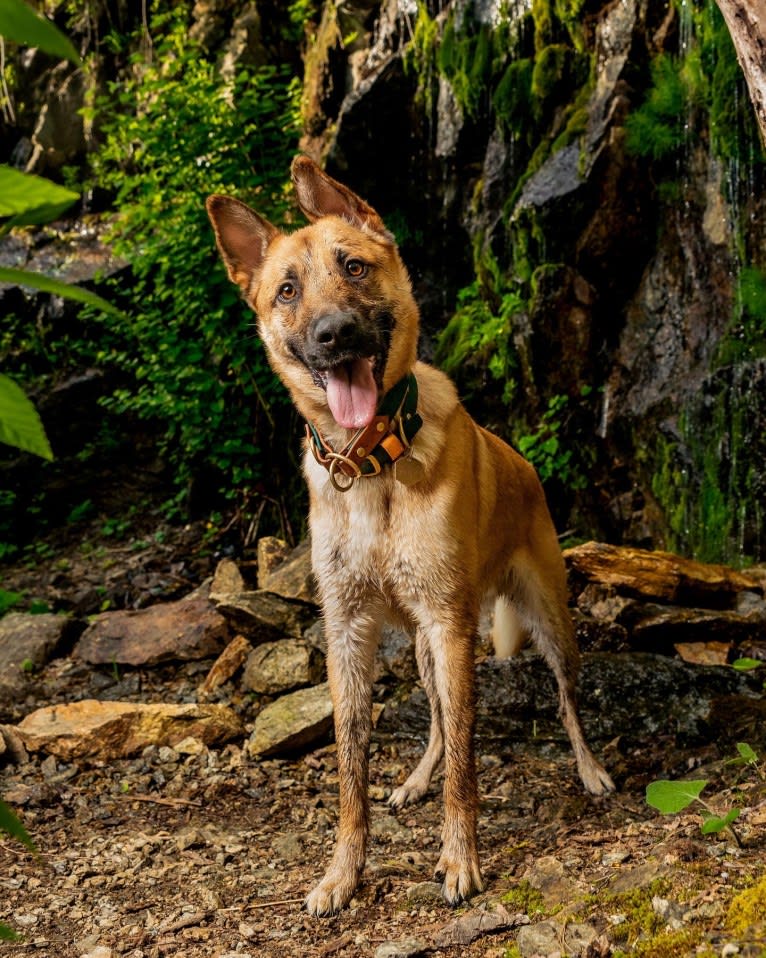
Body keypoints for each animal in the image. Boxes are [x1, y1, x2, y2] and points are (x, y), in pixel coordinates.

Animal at [207, 154, 616, 920]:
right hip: (427, 648)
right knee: (435, 718)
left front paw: (460, 860)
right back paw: (417, 778)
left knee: (564, 700)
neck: (370, 463)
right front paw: (343, 872)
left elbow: (468, 761)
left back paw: (591, 770)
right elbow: (353, 765)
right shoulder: (349, 633)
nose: (335, 332)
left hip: (546, 620)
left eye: (355, 267)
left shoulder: (450, 623)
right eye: (286, 291)